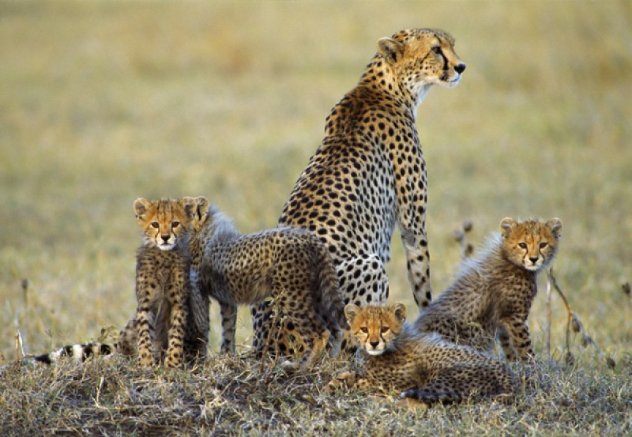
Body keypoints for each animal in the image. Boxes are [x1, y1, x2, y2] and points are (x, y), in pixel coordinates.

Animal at [186, 196, 344, 366]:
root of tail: (312, 238)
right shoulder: (225, 297)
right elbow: (228, 326)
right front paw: (226, 355)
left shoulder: (199, 291)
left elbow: (202, 326)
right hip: (317, 293)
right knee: (336, 330)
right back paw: (328, 361)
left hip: (291, 295)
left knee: (321, 332)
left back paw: (301, 366)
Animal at [253, 27, 470, 348]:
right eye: (436, 49)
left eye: (451, 45)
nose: (460, 67)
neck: (385, 87)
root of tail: (271, 342)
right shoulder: (413, 224)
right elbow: (421, 280)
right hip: (368, 267)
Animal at [328, 302, 516, 404]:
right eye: (364, 329)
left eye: (384, 329)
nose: (374, 343)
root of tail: (511, 381)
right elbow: (354, 374)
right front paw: (339, 379)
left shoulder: (396, 384)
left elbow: (361, 381)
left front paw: (338, 383)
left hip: (446, 377)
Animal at [414, 216, 564, 360]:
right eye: (522, 245)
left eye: (543, 244)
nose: (534, 259)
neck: (510, 261)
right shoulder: (515, 317)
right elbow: (525, 348)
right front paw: (534, 367)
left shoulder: (504, 321)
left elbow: (508, 347)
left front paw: (514, 364)